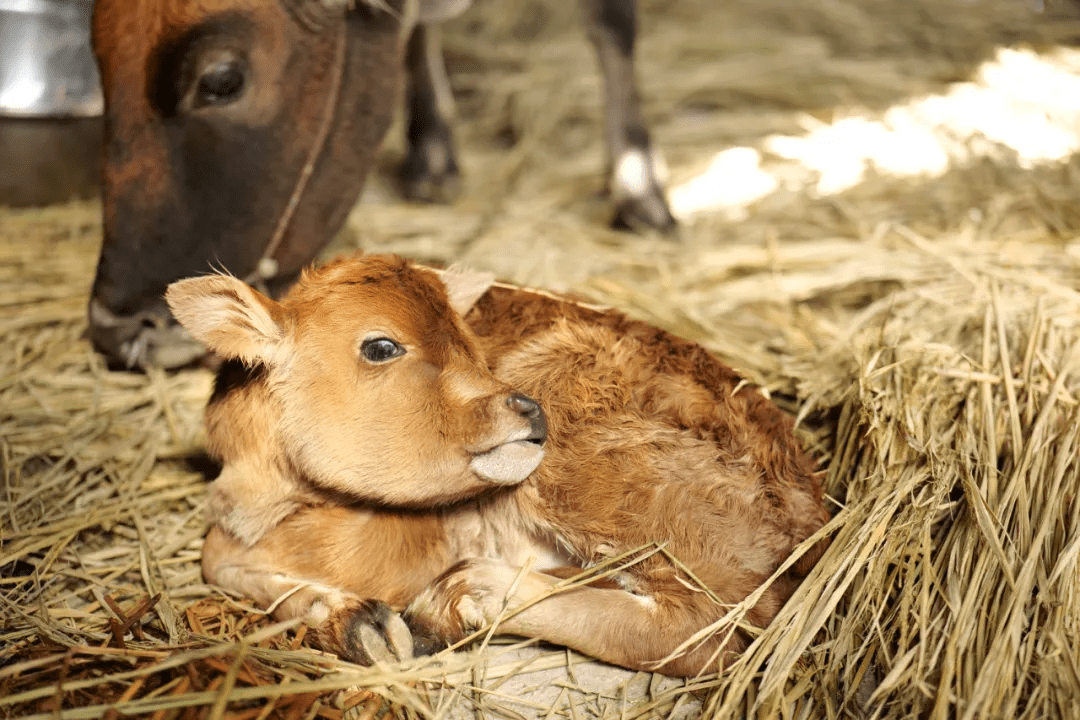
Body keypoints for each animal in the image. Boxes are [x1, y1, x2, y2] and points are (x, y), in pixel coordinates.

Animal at [164, 255, 829, 677]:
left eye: (470, 344)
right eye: (380, 345)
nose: (528, 409)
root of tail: (810, 516)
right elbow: (218, 559)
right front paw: (353, 622)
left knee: (703, 633)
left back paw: (465, 596)